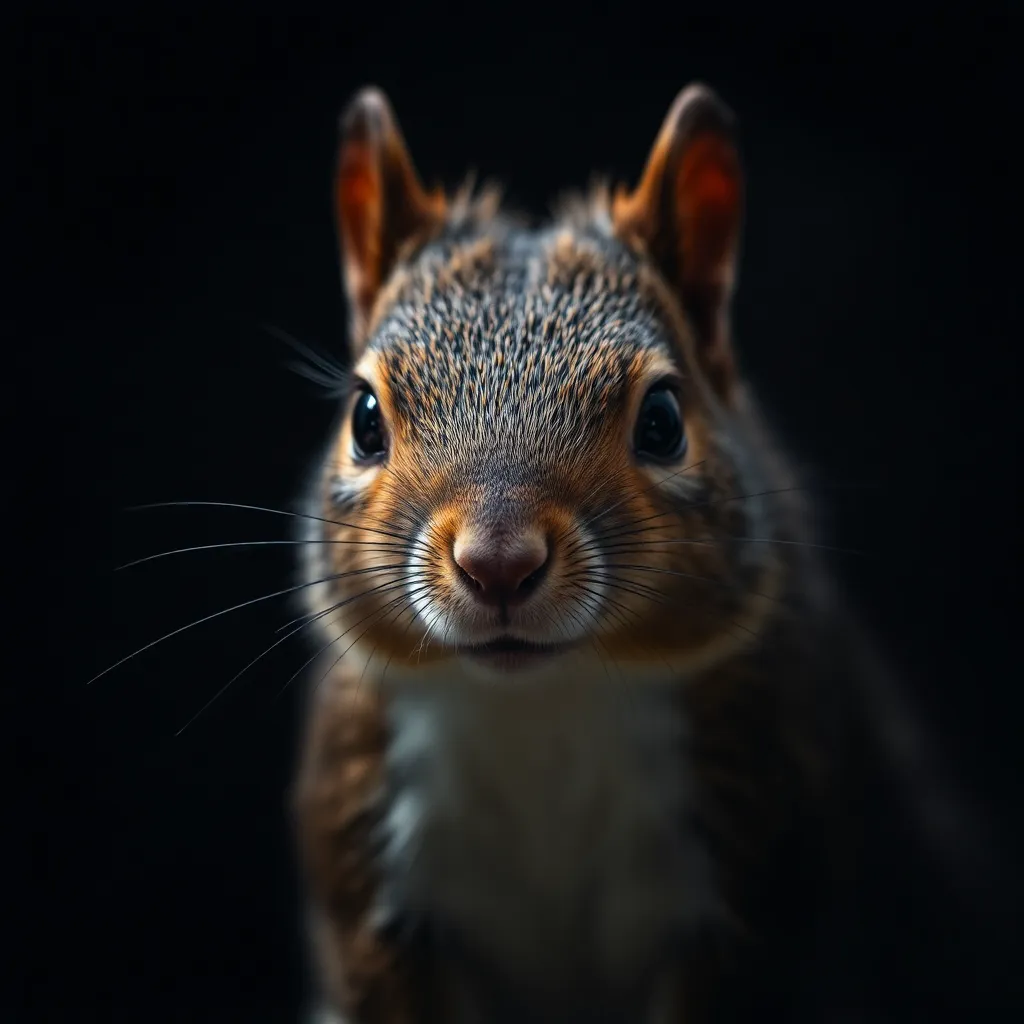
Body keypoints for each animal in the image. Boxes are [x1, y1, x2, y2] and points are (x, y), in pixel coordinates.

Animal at [291, 85, 992, 1024]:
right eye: (365, 419)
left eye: (663, 419)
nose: (498, 563)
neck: (541, 709)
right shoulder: (368, 877)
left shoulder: (762, 858)